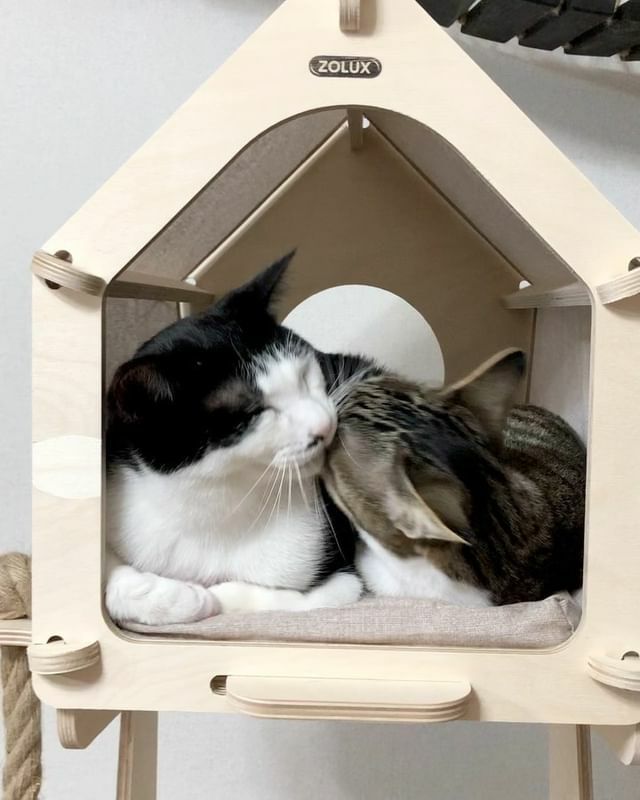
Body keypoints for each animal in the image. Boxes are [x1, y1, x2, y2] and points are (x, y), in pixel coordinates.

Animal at [105, 253, 362, 626]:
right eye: (252, 413)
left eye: (304, 374)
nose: (325, 426)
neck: (216, 505)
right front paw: (165, 595)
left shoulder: (343, 579)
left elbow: (269, 598)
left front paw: (205, 597)